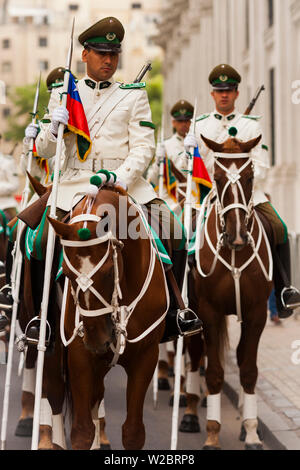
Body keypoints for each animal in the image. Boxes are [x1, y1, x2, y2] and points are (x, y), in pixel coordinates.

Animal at [48, 179, 168, 448]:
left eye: (108, 272)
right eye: (66, 273)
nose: (97, 340)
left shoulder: (146, 356)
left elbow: (133, 432)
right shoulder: (79, 355)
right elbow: (82, 431)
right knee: (56, 393)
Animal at [183, 134, 274, 450]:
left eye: (250, 177)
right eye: (218, 178)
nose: (236, 236)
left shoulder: (256, 313)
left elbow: (248, 370)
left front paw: (252, 432)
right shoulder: (209, 312)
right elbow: (213, 373)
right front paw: (212, 433)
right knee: (196, 354)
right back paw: (189, 413)